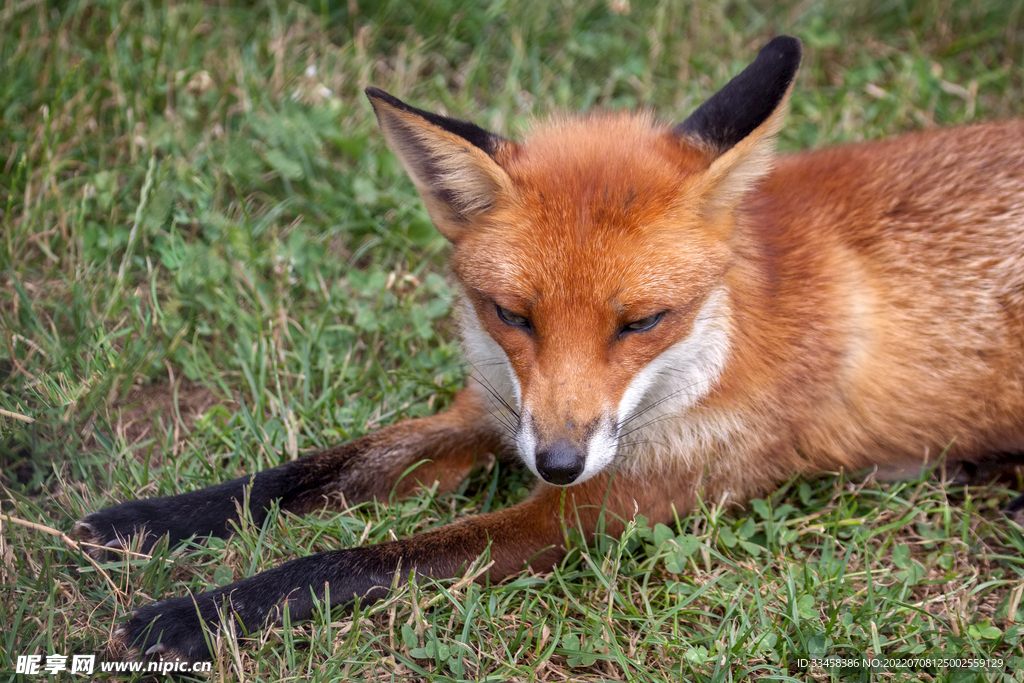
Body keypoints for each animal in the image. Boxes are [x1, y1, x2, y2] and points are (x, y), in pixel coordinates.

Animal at [72, 36, 1024, 663]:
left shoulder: (596, 508)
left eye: (641, 322)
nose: (558, 461)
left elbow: (357, 558)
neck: (717, 344)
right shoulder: (496, 409)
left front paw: (197, 613)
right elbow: (299, 476)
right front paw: (140, 521)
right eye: (511, 315)